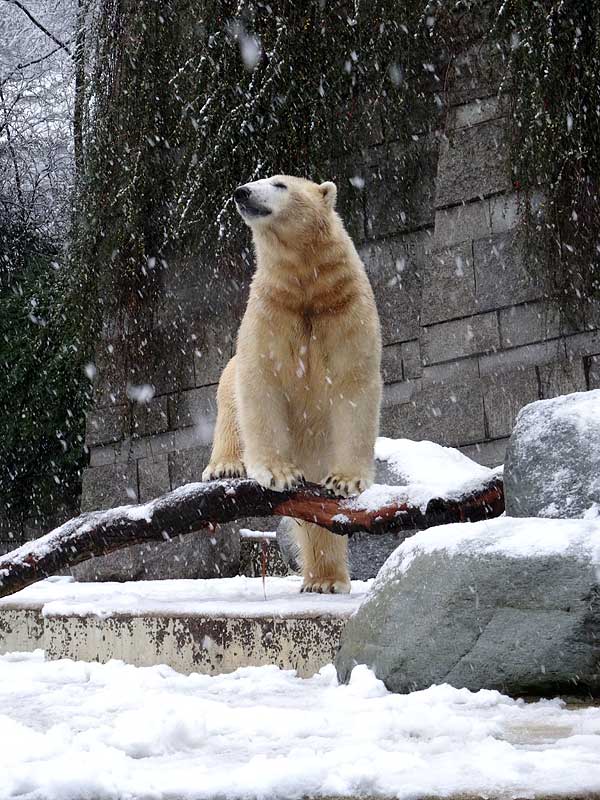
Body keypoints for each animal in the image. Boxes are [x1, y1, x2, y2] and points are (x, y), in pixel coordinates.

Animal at [202, 175, 380, 592]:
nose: (242, 192)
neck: (305, 286)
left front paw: (346, 481)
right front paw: (279, 474)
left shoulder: (345, 309)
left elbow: (354, 386)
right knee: (230, 406)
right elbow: (261, 384)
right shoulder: (270, 310)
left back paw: (326, 580)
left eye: (279, 184)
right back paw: (226, 466)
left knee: (319, 519)